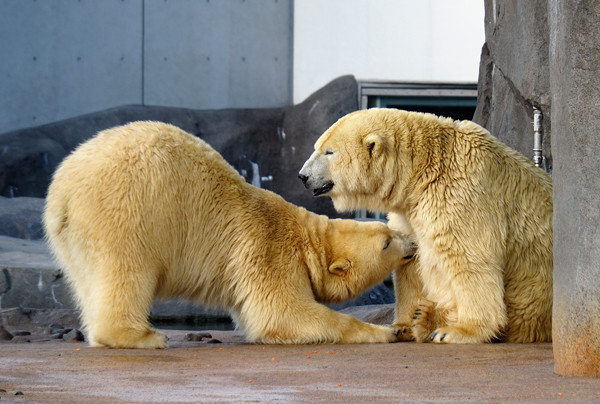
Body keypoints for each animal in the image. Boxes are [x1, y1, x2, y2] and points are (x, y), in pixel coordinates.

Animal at [44, 119, 414, 348]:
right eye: (386, 242)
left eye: (387, 228)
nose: (411, 242)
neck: (305, 239)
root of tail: (62, 192)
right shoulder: (269, 251)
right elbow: (283, 314)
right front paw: (387, 331)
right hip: (127, 214)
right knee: (127, 271)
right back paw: (142, 336)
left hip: (73, 238)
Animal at [298, 109, 552, 342]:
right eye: (318, 147)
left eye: (329, 152)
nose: (302, 176)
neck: (423, 169)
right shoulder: (410, 210)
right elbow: (412, 260)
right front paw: (403, 325)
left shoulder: (461, 194)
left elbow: (468, 258)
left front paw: (461, 330)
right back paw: (424, 317)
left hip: (532, 291)